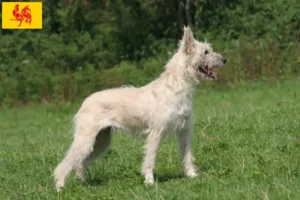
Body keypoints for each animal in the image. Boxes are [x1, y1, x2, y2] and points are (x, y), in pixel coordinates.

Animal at [53, 25, 225, 191]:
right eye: (205, 52)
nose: (225, 59)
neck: (176, 86)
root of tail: (84, 103)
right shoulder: (156, 133)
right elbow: (150, 159)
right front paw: (149, 181)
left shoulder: (185, 131)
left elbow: (187, 155)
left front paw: (191, 175)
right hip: (85, 140)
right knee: (64, 164)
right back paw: (60, 187)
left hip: (101, 142)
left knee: (79, 164)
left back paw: (83, 184)